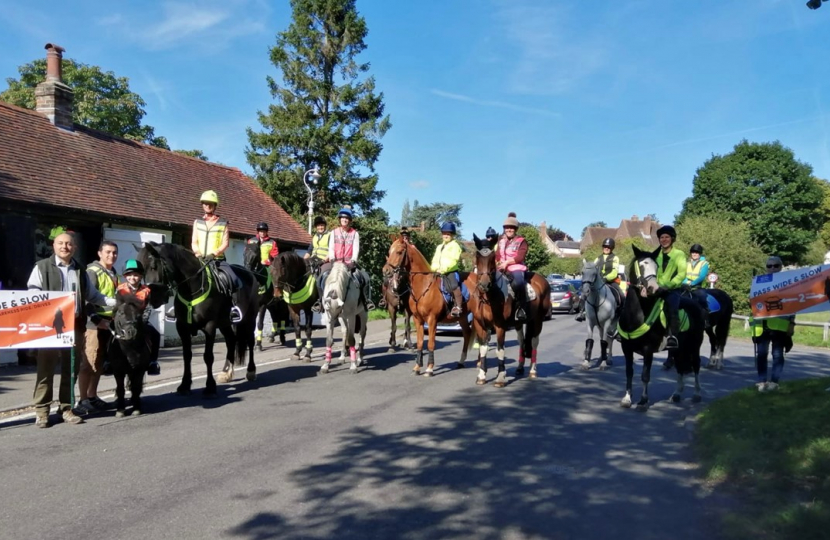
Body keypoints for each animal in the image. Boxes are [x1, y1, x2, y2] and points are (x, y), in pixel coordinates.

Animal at [136, 242, 260, 396]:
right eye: (142, 270)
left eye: (153, 266)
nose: (153, 299)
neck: (192, 290)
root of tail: (250, 274)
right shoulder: (182, 327)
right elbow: (187, 355)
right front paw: (185, 384)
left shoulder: (209, 326)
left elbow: (208, 356)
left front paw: (210, 386)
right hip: (224, 323)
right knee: (231, 341)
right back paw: (226, 372)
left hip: (249, 319)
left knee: (250, 341)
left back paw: (251, 371)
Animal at [386, 238, 472, 378]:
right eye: (389, 251)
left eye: (399, 252)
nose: (386, 271)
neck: (423, 285)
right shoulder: (418, 319)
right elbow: (420, 342)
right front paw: (417, 367)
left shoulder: (432, 320)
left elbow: (431, 343)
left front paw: (429, 368)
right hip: (463, 318)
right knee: (467, 334)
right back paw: (461, 361)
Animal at [468, 234, 552, 386]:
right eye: (477, 256)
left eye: (492, 258)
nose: (484, 284)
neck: (488, 297)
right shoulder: (480, 324)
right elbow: (483, 349)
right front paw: (481, 376)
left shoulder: (500, 326)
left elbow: (500, 350)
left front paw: (500, 378)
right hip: (519, 322)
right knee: (522, 341)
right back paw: (520, 368)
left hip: (538, 320)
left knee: (534, 342)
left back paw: (532, 371)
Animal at [616, 246, 708, 410]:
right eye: (641, 265)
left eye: (656, 266)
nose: (653, 288)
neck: (637, 315)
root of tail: (697, 305)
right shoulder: (626, 348)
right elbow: (629, 372)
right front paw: (627, 398)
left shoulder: (648, 350)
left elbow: (645, 376)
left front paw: (643, 401)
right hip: (679, 348)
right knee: (680, 366)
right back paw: (676, 394)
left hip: (695, 344)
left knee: (696, 365)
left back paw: (697, 394)